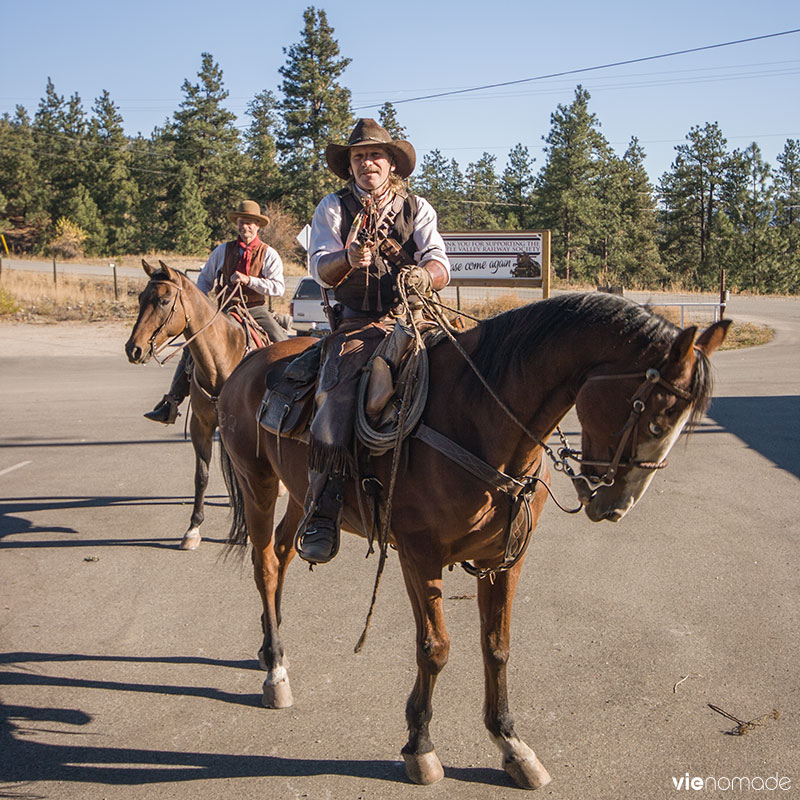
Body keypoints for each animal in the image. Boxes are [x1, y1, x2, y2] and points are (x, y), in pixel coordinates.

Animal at [125, 262, 268, 552]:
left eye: (164, 300)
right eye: (140, 298)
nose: (133, 349)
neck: (220, 362)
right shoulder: (201, 425)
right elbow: (201, 476)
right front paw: (193, 529)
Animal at [216, 292, 728, 788]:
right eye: (656, 417)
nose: (616, 505)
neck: (476, 416)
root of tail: (251, 362)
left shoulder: (504, 559)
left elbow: (497, 646)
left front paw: (511, 744)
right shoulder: (419, 557)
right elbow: (434, 648)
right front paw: (420, 746)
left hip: (301, 492)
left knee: (284, 552)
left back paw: (274, 645)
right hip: (257, 482)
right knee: (266, 564)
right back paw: (275, 670)